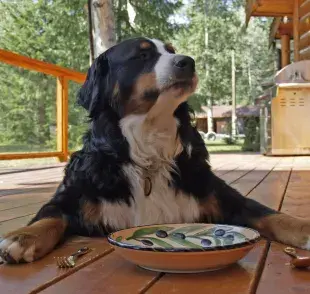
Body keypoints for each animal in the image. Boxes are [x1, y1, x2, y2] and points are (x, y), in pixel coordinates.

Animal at [0, 38, 310, 262]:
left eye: (171, 50)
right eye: (142, 56)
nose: (188, 62)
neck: (148, 149)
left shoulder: (224, 196)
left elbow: (269, 214)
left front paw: (303, 228)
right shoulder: (72, 195)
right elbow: (49, 216)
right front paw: (23, 237)